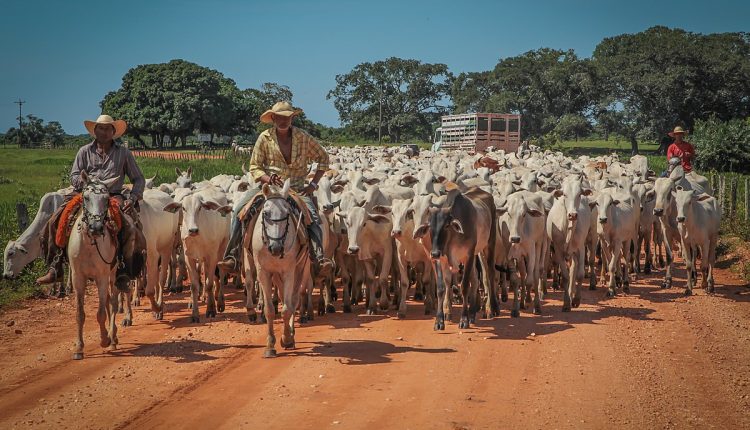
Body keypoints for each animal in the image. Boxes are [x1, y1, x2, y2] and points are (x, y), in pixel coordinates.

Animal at [253, 179, 312, 360]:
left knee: (294, 300)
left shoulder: (289, 272)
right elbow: (269, 310)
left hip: (301, 270)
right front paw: (270, 346)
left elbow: (287, 308)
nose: (277, 248)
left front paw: (286, 338)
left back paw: (291, 335)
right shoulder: (263, 273)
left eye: (287, 213)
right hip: (276, 276)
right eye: (266, 213)